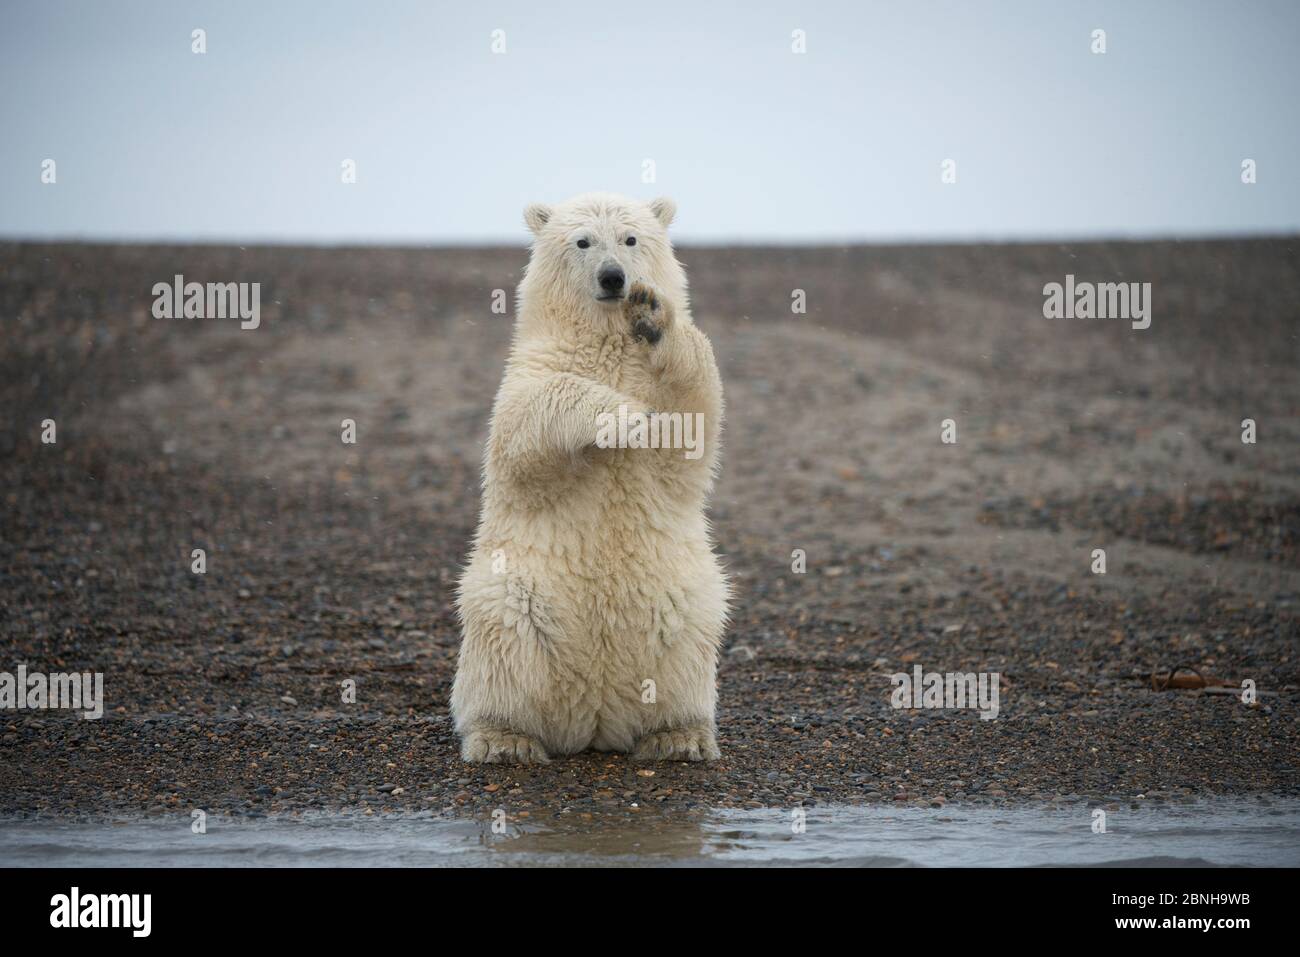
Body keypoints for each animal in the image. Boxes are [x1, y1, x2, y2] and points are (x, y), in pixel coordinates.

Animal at [452, 192, 728, 764]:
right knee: (502, 646)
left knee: (687, 644)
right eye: (582, 241)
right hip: (515, 599)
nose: (613, 277)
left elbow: (695, 414)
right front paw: (623, 415)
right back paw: (504, 740)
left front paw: (653, 316)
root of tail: (594, 720)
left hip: (682, 605)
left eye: (630, 238)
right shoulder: (529, 370)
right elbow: (528, 426)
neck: (605, 347)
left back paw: (678, 736)